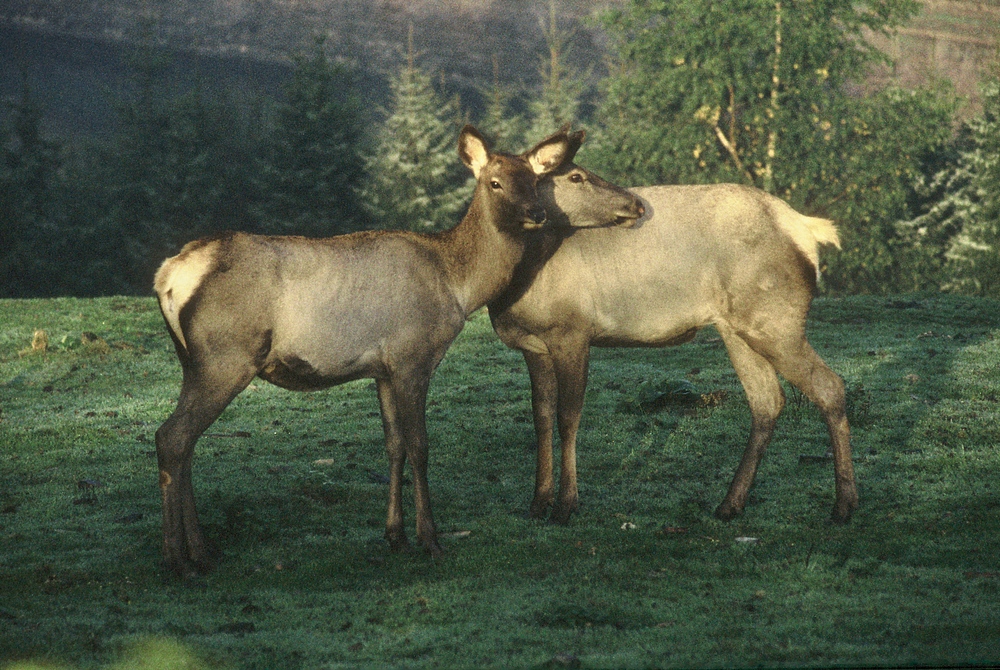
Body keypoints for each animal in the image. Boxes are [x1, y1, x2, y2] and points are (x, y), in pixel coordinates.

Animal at [152, 126, 644, 576]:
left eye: (533, 181)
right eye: (495, 182)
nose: (536, 213)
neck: (459, 285)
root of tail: (169, 275)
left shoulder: (383, 368)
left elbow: (393, 446)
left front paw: (395, 534)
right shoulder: (413, 356)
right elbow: (420, 446)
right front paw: (431, 538)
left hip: (192, 361)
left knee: (183, 442)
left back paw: (202, 550)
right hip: (226, 356)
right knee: (172, 437)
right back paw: (179, 559)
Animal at [488, 181, 856, 528]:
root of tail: (807, 229)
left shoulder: (571, 332)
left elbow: (567, 417)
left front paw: (564, 507)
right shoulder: (533, 346)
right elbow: (541, 416)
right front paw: (538, 503)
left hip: (775, 321)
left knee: (830, 386)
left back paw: (843, 506)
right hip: (737, 328)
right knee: (768, 400)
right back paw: (730, 503)